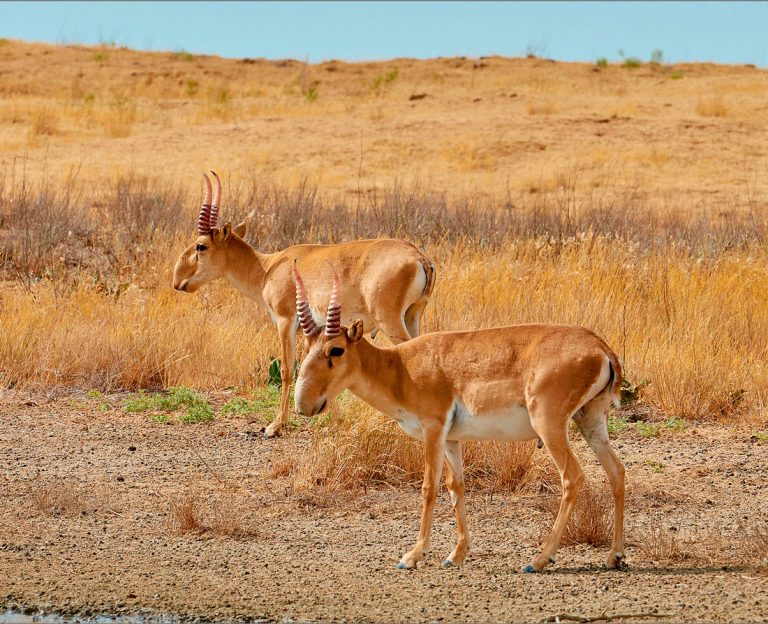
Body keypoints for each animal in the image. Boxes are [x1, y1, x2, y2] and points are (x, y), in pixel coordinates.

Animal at [174, 171, 436, 434]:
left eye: (200, 245)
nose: (178, 281)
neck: (268, 268)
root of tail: (419, 257)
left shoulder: (285, 322)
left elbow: (288, 369)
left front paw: (275, 425)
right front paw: (335, 419)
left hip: (391, 322)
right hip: (412, 317)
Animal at [292, 268, 628, 572]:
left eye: (336, 349)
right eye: (306, 347)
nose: (303, 405)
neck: (400, 367)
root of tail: (601, 348)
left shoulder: (433, 428)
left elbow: (429, 486)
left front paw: (411, 556)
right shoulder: (452, 438)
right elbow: (457, 486)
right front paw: (455, 555)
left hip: (550, 425)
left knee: (573, 476)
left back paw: (539, 560)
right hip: (590, 422)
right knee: (617, 471)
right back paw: (614, 556)